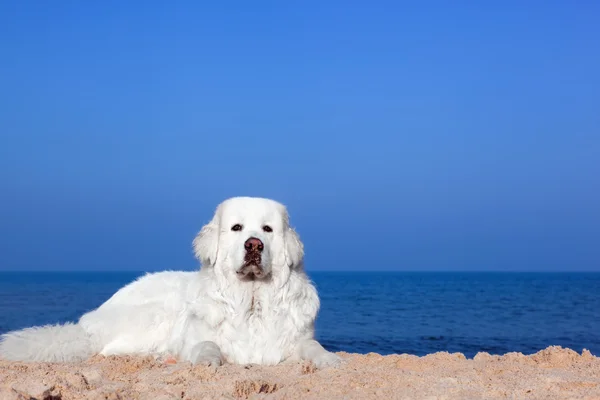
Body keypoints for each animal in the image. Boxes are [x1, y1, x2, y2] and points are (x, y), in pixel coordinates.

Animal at [0, 197, 342, 368]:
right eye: (237, 228)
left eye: (268, 230)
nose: (254, 245)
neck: (252, 302)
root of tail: (87, 323)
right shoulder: (196, 337)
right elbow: (205, 345)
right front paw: (207, 360)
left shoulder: (295, 340)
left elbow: (312, 347)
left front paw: (329, 360)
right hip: (157, 314)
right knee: (109, 350)